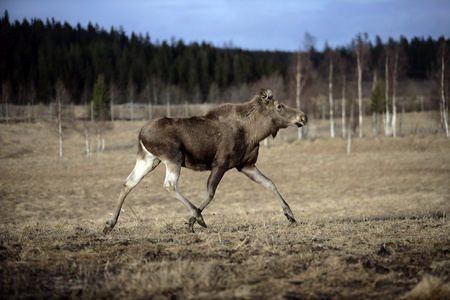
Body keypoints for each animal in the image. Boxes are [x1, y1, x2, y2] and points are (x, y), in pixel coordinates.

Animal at [102, 89, 308, 234]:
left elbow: (270, 183)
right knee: (169, 185)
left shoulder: (245, 165)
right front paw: (192, 221)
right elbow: (210, 193)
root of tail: (140, 134)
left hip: (148, 159)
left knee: (128, 183)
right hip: (173, 157)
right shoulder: (221, 164)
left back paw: (110, 224)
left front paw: (290, 215)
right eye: (279, 106)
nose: (303, 116)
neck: (254, 133)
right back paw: (197, 216)